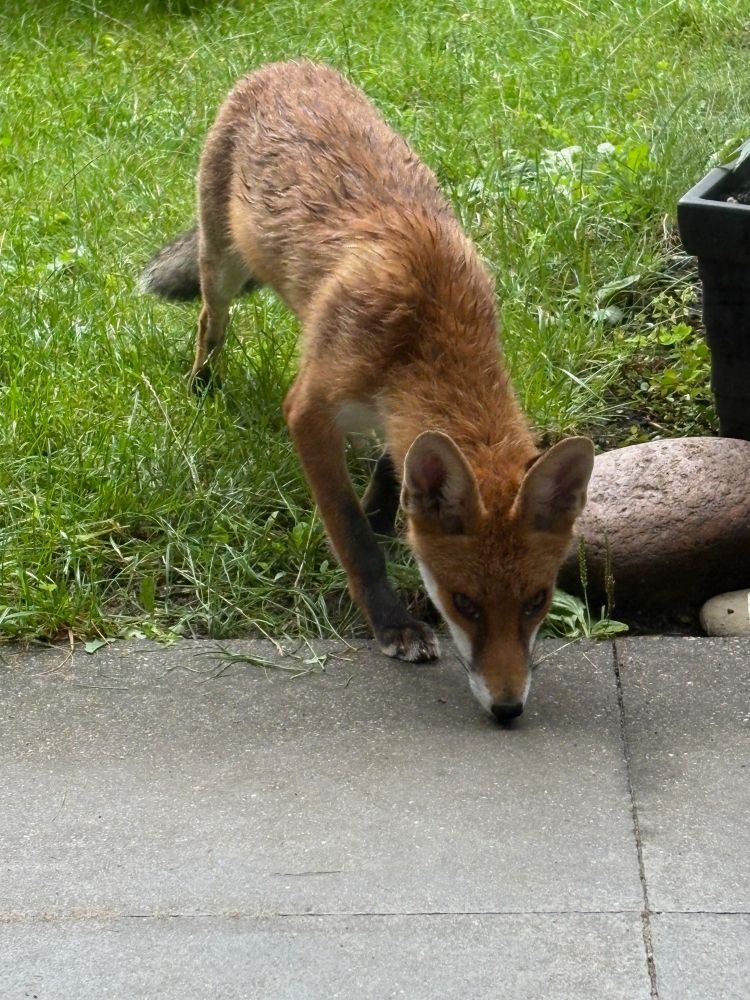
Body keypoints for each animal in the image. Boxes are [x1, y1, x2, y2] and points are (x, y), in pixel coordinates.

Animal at [141, 60, 594, 723]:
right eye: (464, 602)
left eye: (536, 601)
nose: (508, 708)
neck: (425, 331)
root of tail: (284, 64)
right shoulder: (308, 411)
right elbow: (353, 537)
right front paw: (392, 623)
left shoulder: (394, 415)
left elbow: (387, 473)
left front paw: (388, 515)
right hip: (220, 264)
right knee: (209, 321)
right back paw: (202, 385)